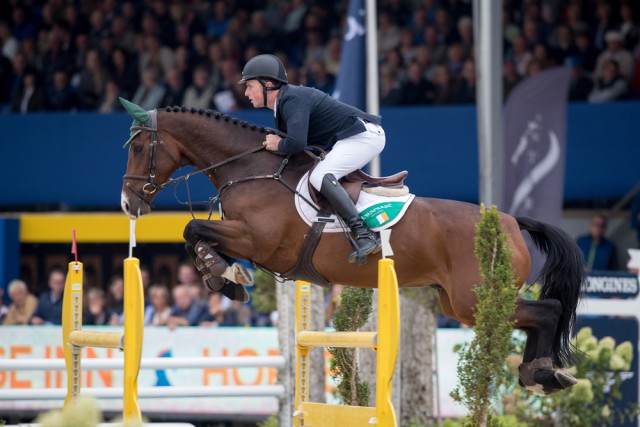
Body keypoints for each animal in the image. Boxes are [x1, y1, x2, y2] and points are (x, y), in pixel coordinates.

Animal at [120, 99, 584, 394]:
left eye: (140, 147)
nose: (128, 204)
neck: (251, 168)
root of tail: (509, 221)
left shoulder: (257, 239)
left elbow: (194, 229)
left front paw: (224, 275)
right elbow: (195, 234)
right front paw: (224, 276)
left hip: (475, 299)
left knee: (547, 311)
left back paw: (544, 373)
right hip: (457, 302)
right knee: (535, 316)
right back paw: (540, 373)